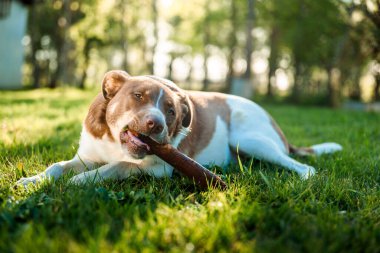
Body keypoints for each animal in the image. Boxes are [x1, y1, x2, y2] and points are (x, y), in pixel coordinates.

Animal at [17, 69, 342, 186]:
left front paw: (79, 182)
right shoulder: (86, 155)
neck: (115, 143)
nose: (155, 124)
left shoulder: (158, 168)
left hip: (251, 139)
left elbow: (117, 166)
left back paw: (303, 177)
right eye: (138, 96)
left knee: (300, 165)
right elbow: (57, 166)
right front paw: (32, 181)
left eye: (171, 111)